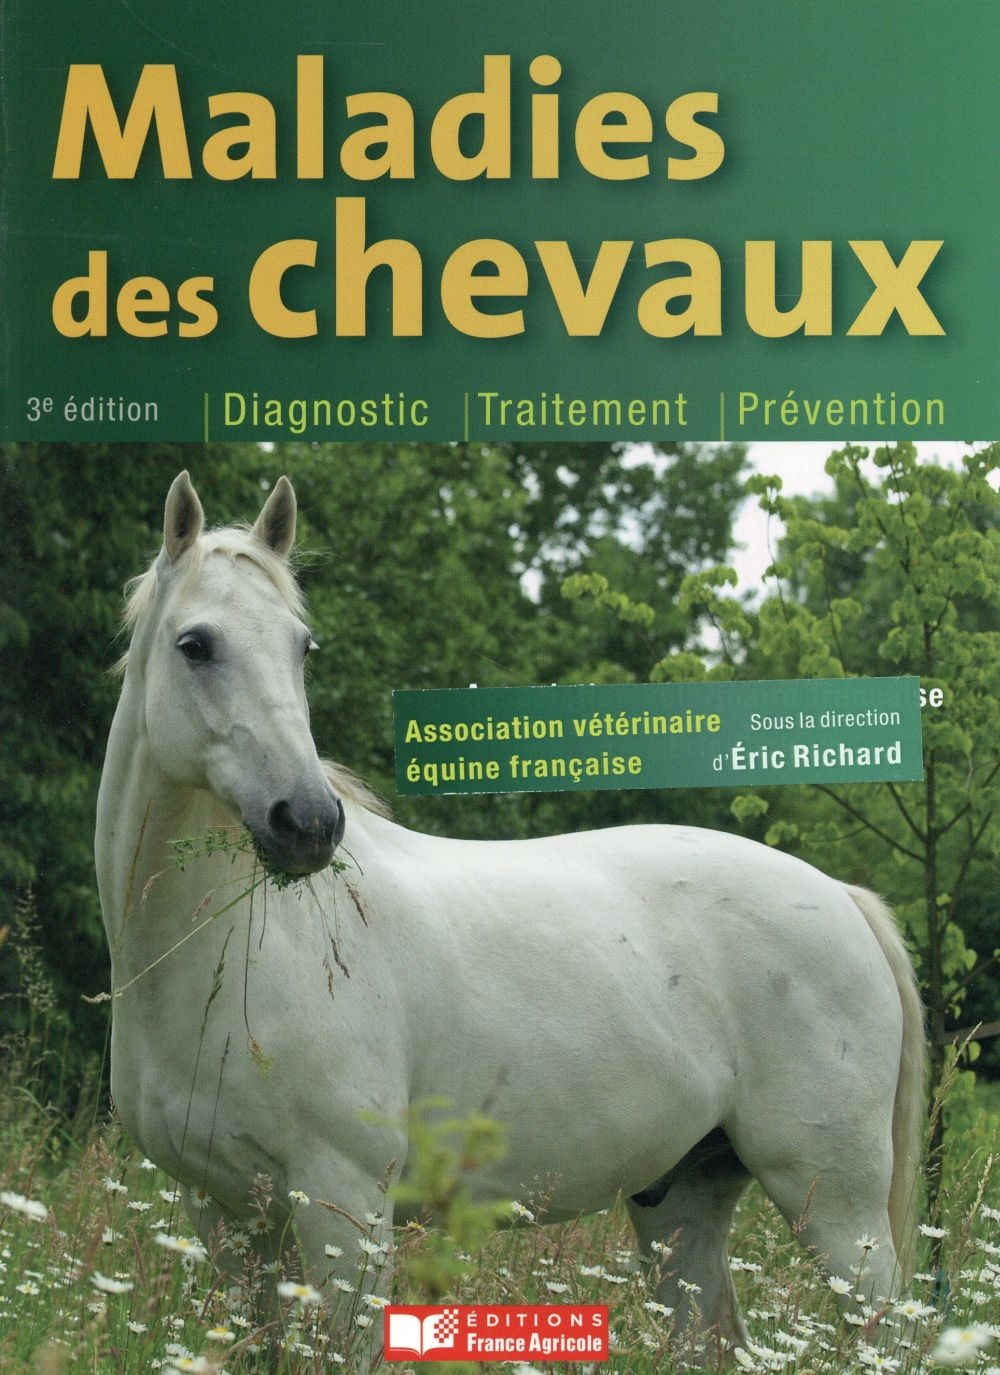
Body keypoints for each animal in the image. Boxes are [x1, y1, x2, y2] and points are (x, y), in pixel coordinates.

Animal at [95, 470, 925, 1359]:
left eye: (301, 647)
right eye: (196, 644)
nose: (308, 823)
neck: (237, 953)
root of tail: (844, 899)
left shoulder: (344, 1211)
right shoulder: (223, 1216)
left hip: (836, 1210)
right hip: (683, 1205)